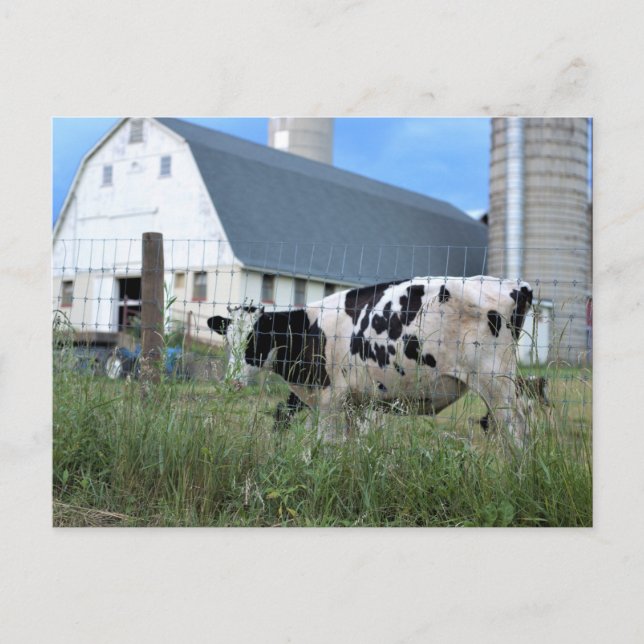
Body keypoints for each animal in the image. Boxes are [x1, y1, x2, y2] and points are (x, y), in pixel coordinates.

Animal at [207, 276, 534, 444]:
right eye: (228, 341)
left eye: (257, 340)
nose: (233, 382)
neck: (309, 329)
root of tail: (515, 285)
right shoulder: (350, 402)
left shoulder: (331, 397)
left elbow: (325, 444)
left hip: (495, 381)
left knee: (517, 424)